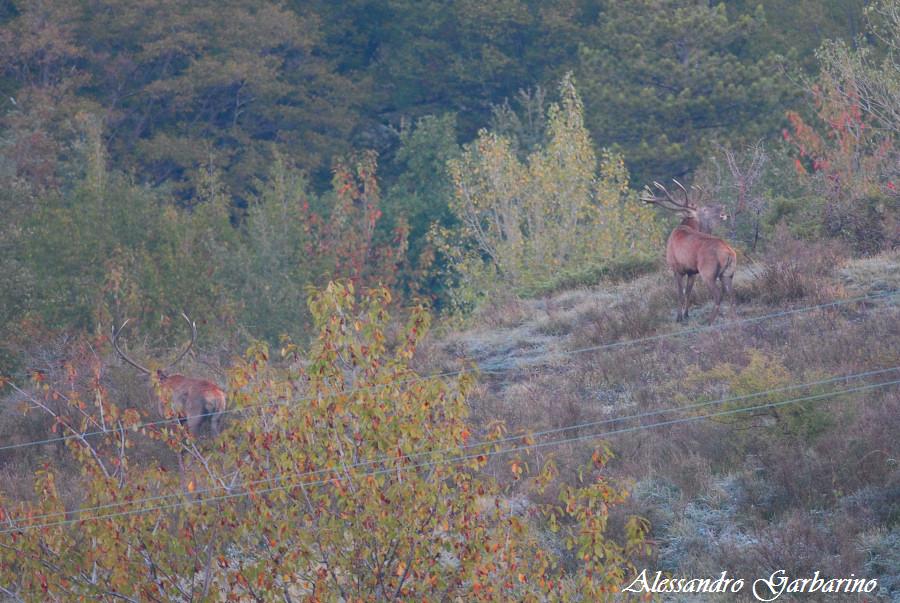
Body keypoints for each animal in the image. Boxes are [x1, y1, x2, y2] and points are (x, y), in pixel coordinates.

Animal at [640, 180, 740, 326]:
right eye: (704, 209)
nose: (722, 206)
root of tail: (729, 253)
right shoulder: (692, 271)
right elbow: (688, 292)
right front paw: (686, 315)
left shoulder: (676, 268)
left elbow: (680, 294)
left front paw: (679, 318)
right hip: (728, 273)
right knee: (731, 294)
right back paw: (734, 320)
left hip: (708, 272)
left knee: (718, 295)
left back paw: (709, 321)